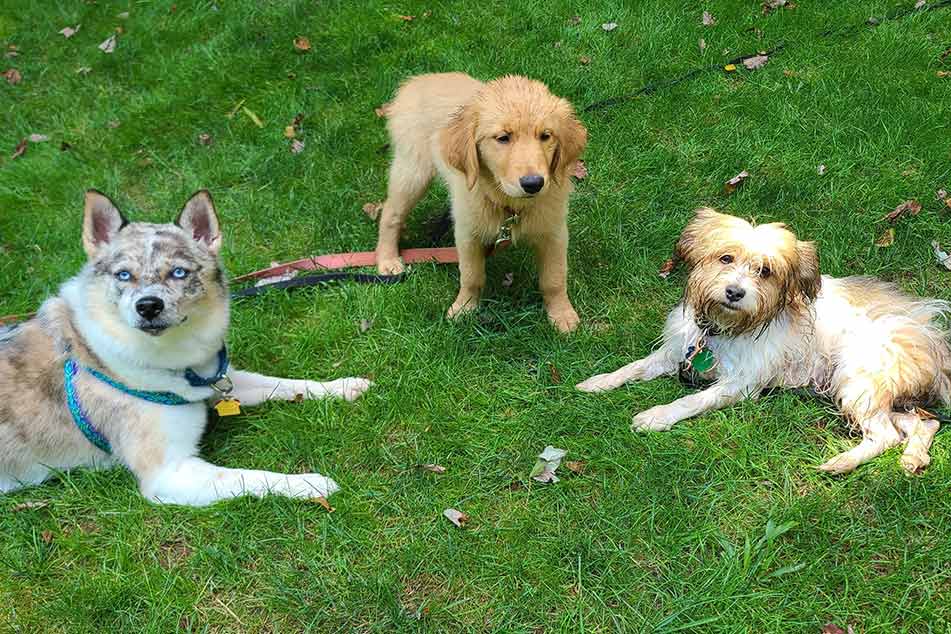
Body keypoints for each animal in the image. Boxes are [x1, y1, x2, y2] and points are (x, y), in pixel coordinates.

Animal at [0, 190, 372, 506]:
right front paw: (308, 483)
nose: (149, 306)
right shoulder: (168, 474)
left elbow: (285, 384)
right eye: (124, 275)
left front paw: (342, 386)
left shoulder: (221, 381)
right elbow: (249, 477)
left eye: (178, 272)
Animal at [374, 73, 588, 330]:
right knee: (390, 212)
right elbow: (471, 276)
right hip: (413, 170)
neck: (510, 205)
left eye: (546, 136)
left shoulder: (554, 232)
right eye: (503, 138)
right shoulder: (467, 233)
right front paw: (464, 308)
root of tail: (417, 80)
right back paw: (387, 259)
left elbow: (554, 279)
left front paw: (562, 314)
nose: (534, 183)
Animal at [576, 210, 948, 472]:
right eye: (726, 258)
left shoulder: (740, 383)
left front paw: (657, 416)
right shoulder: (677, 351)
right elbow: (635, 366)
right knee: (922, 423)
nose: (734, 292)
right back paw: (914, 457)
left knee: (887, 434)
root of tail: (932, 337)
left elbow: (692, 400)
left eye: (765, 271)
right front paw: (599, 382)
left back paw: (842, 462)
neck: (723, 328)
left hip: (857, 380)